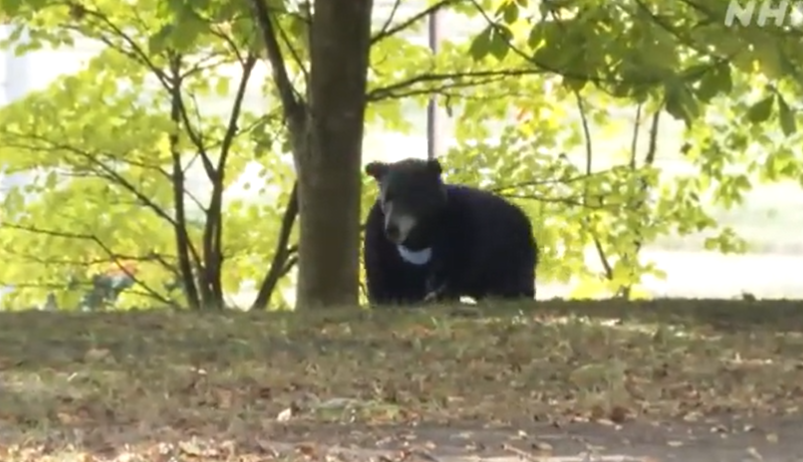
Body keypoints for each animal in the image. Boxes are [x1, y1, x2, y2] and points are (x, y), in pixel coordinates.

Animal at [363, 157, 538, 306]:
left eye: (412, 197)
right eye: (387, 198)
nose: (392, 229)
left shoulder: (459, 229)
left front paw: (437, 294)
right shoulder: (379, 243)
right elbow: (382, 282)